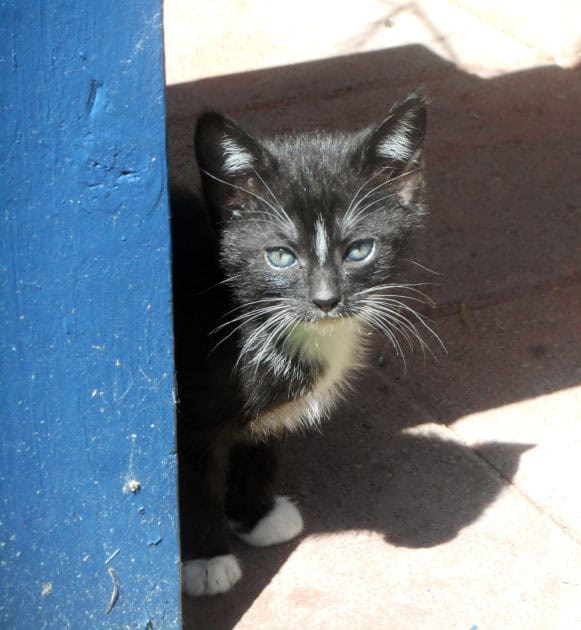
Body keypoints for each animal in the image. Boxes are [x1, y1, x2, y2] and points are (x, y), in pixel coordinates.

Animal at [170, 94, 428, 596]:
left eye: (359, 250)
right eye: (280, 256)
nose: (326, 300)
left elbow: (263, 440)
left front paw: (256, 515)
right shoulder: (183, 406)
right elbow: (192, 476)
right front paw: (207, 559)